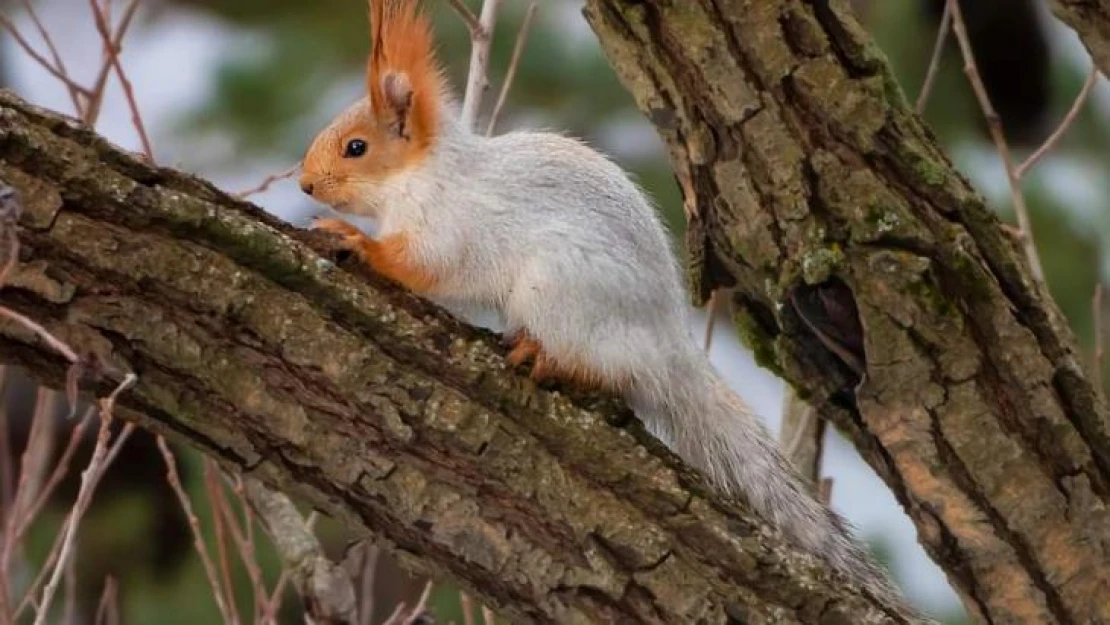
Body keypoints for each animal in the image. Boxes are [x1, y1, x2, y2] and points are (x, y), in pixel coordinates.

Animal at [297, 0, 910, 612]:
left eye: (356, 147)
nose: (304, 184)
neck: (419, 175)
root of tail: (669, 344)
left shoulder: (447, 227)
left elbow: (423, 264)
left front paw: (357, 242)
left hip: (560, 292)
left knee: (617, 373)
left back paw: (549, 358)